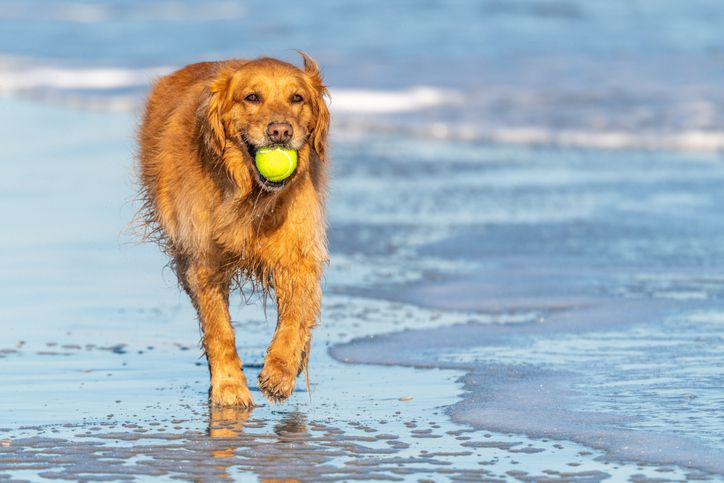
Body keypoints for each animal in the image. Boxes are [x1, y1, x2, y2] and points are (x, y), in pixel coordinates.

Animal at [136, 54, 330, 408]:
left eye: (297, 98)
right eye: (252, 97)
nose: (280, 131)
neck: (249, 195)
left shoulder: (298, 253)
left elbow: (295, 316)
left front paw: (281, 371)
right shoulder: (204, 261)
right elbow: (219, 329)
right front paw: (229, 386)